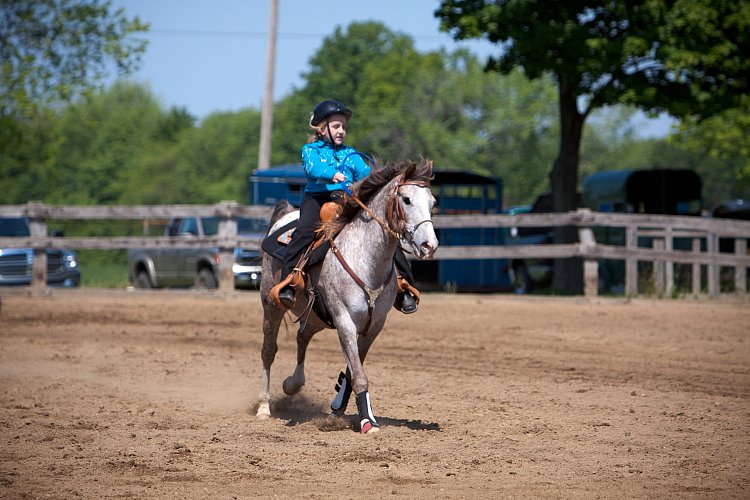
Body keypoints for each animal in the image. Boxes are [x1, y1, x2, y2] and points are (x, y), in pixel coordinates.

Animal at [258, 157, 440, 434]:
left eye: (432, 202)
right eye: (407, 199)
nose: (429, 246)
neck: (365, 258)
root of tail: (285, 214)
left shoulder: (373, 325)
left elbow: (354, 370)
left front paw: (343, 409)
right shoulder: (345, 321)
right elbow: (359, 375)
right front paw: (368, 423)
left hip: (316, 315)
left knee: (302, 336)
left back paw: (293, 383)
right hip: (271, 304)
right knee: (269, 350)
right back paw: (263, 407)